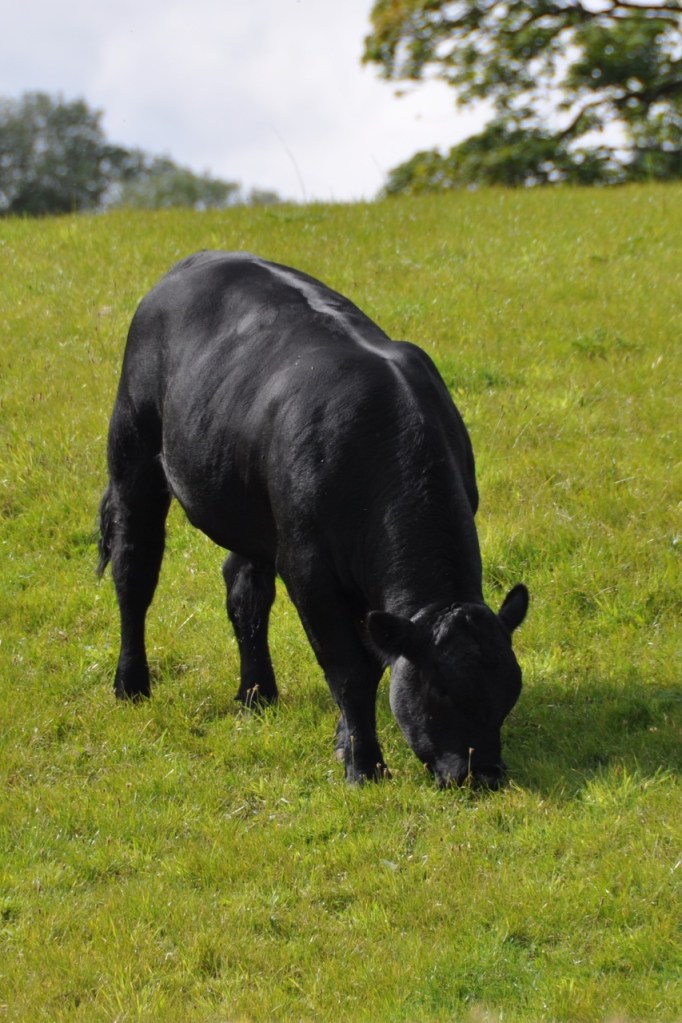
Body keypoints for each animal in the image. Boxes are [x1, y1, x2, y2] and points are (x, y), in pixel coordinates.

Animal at [98, 251, 529, 788]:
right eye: (441, 693)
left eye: (509, 691)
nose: (484, 774)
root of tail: (200, 259)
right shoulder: (308, 568)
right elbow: (349, 669)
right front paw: (364, 766)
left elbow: (367, 660)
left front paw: (345, 743)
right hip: (133, 452)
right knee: (134, 570)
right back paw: (131, 684)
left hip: (250, 508)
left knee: (244, 591)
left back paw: (257, 693)